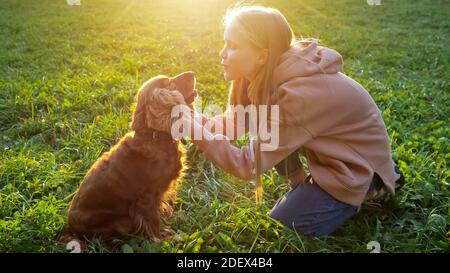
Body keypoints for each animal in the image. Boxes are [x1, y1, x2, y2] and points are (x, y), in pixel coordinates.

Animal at [63, 70, 197, 240]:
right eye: (169, 83)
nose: (192, 73)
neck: (154, 137)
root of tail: (70, 228)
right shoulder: (148, 197)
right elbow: (153, 220)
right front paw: (161, 239)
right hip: (123, 222)